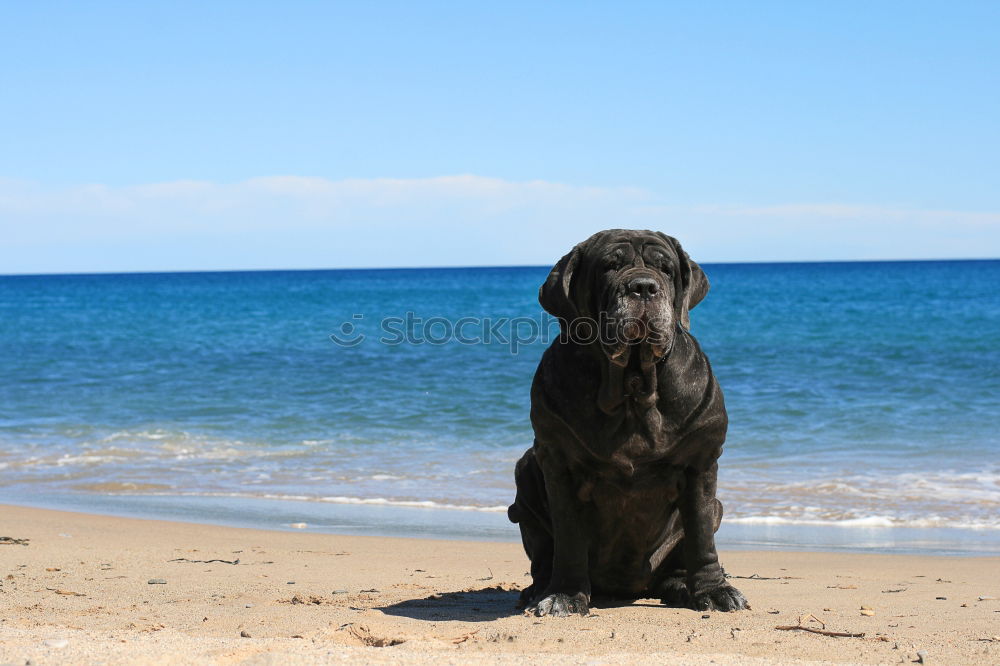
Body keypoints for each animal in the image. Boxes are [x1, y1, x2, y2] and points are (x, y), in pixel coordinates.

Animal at [512, 228, 748, 612]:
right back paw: (538, 589)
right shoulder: (557, 461)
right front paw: (564, 594)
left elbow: (700, 536)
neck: (632, 386)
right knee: (544, 552)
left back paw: (681, 586)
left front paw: (714, 590)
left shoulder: (700, 461)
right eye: (610, 266)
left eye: (666, 269)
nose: (643, 287)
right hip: (527, 470)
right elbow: (569, 536)